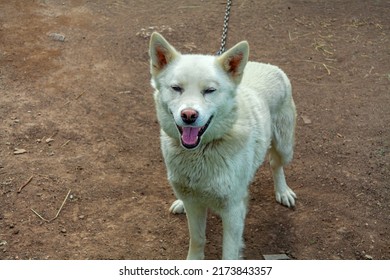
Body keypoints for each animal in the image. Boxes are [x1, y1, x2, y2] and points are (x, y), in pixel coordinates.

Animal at [149, 32, 296, 260]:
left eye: (209, 90)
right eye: (176, 88)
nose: (189, 115)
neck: (202, 151)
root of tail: (269, 65)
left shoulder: (233, 210)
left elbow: (229, 253)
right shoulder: (194, 203)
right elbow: (197, 239)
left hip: (284, 145)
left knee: (276, 164)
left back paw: (282, 191)